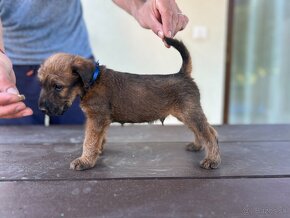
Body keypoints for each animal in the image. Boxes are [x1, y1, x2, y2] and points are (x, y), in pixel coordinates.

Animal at [37, 37, 221, 170]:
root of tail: (183, 74)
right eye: (41, 84)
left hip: (190, 113)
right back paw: (198, 146)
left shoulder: (96, 118)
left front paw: (85, 160)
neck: (93, 80)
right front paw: (97, 151)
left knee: (209, 134)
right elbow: (98, 138)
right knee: (208, 130)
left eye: (58, 86)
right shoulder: (100, 120)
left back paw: (212, 159)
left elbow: (89, 140)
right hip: (187, 114)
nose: (42, 108)